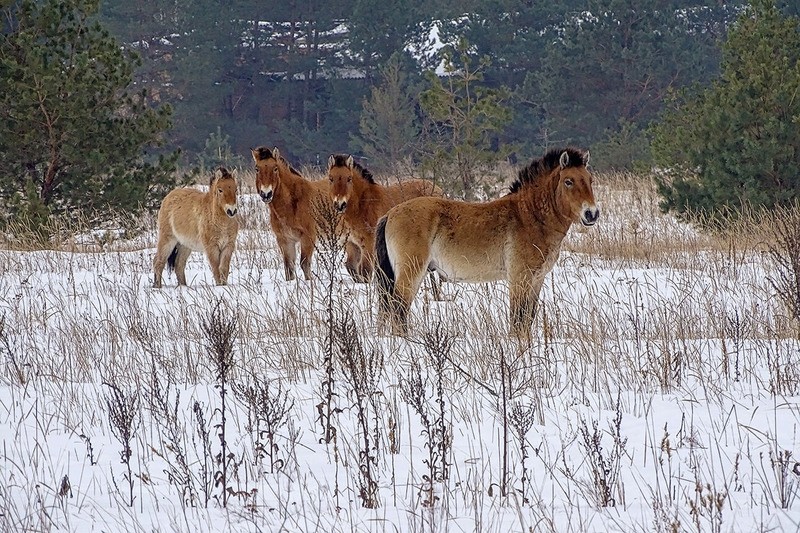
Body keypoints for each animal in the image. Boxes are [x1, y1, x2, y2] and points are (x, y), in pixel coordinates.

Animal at [252, 146, 361, 281]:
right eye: (257, 169)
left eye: (275, 168)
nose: (266, 194)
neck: (292, 203)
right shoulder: (285, 239)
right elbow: (289, 267)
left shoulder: (308, 237)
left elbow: (305, 264)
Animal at [375, 147, 599, 338]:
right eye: (568, 181)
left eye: (590, 180)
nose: (591, 214)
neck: (529, 217)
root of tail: (390, 214)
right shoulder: (519, 279)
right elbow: (517, 320)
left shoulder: (537, 280)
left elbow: (527, 319)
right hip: (411, 272)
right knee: (398, 309)